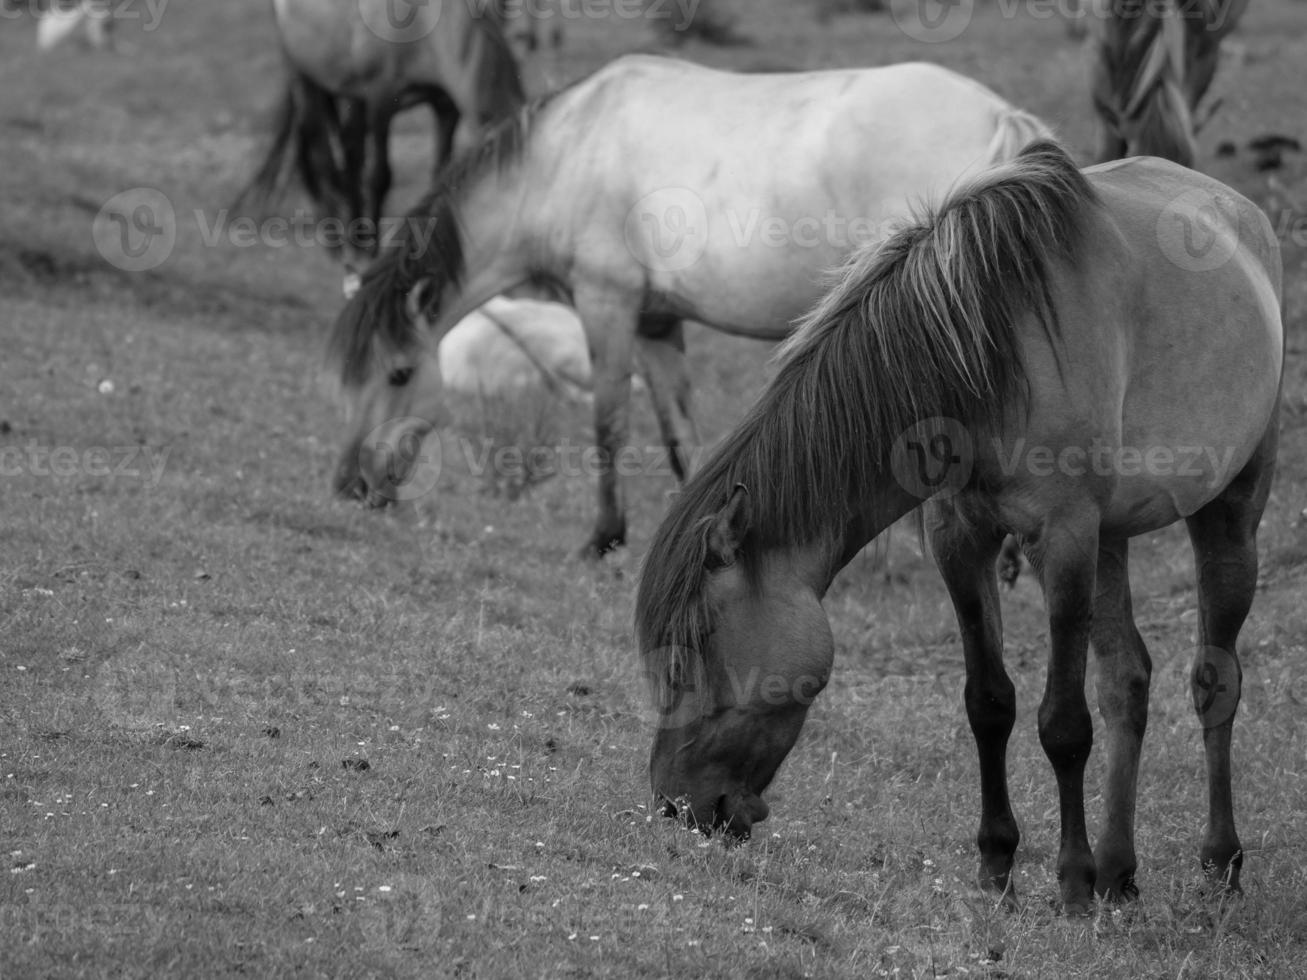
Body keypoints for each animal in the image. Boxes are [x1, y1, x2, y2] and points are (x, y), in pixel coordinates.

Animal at [235, 0, 525, 273]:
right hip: (304, 77)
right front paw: (371, 250)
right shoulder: (380, 99)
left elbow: (440, 177)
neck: (426, 26)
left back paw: (354, 237)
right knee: (322, 156)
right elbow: (379, 177)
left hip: (350, 93)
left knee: (350, 154)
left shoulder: (444, 106)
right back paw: (337, 246)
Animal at [326, 55, 1050, 559]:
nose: (350, 489)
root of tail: (1002, 120)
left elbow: (609, 426)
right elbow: (680, 441)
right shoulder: (656, 322)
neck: (567, 152)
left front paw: (603, 538)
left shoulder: (607, 306)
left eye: (399, 374)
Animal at [637, 141, 1280, 919]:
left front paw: (1069, 881)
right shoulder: (961, 540)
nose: (673, 805)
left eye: (699, 639)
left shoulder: (1062, 539)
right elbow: (989, 704)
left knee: (1214, 680)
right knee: (1126, 683)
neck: (987, 357)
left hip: (1229, 512)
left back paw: (1217, 863)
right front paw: (997, 866)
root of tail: (1240, 209)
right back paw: (1117, 873)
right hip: (1113, 539)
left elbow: (1063, 724)